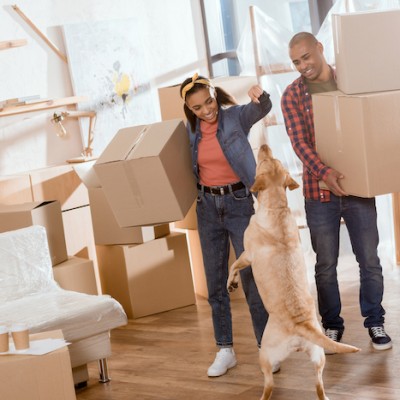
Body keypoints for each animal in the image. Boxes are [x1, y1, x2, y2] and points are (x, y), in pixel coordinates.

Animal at [227, 145, 360, 400]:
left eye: (265, 160)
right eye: (275, 159)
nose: (265, 146)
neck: (276, 206)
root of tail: (300, 327)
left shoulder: (246, 254)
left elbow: (233, 266)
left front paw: (232, 283)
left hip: (266, 354)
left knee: (269, 383)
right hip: (318, 357)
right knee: (319, 385)